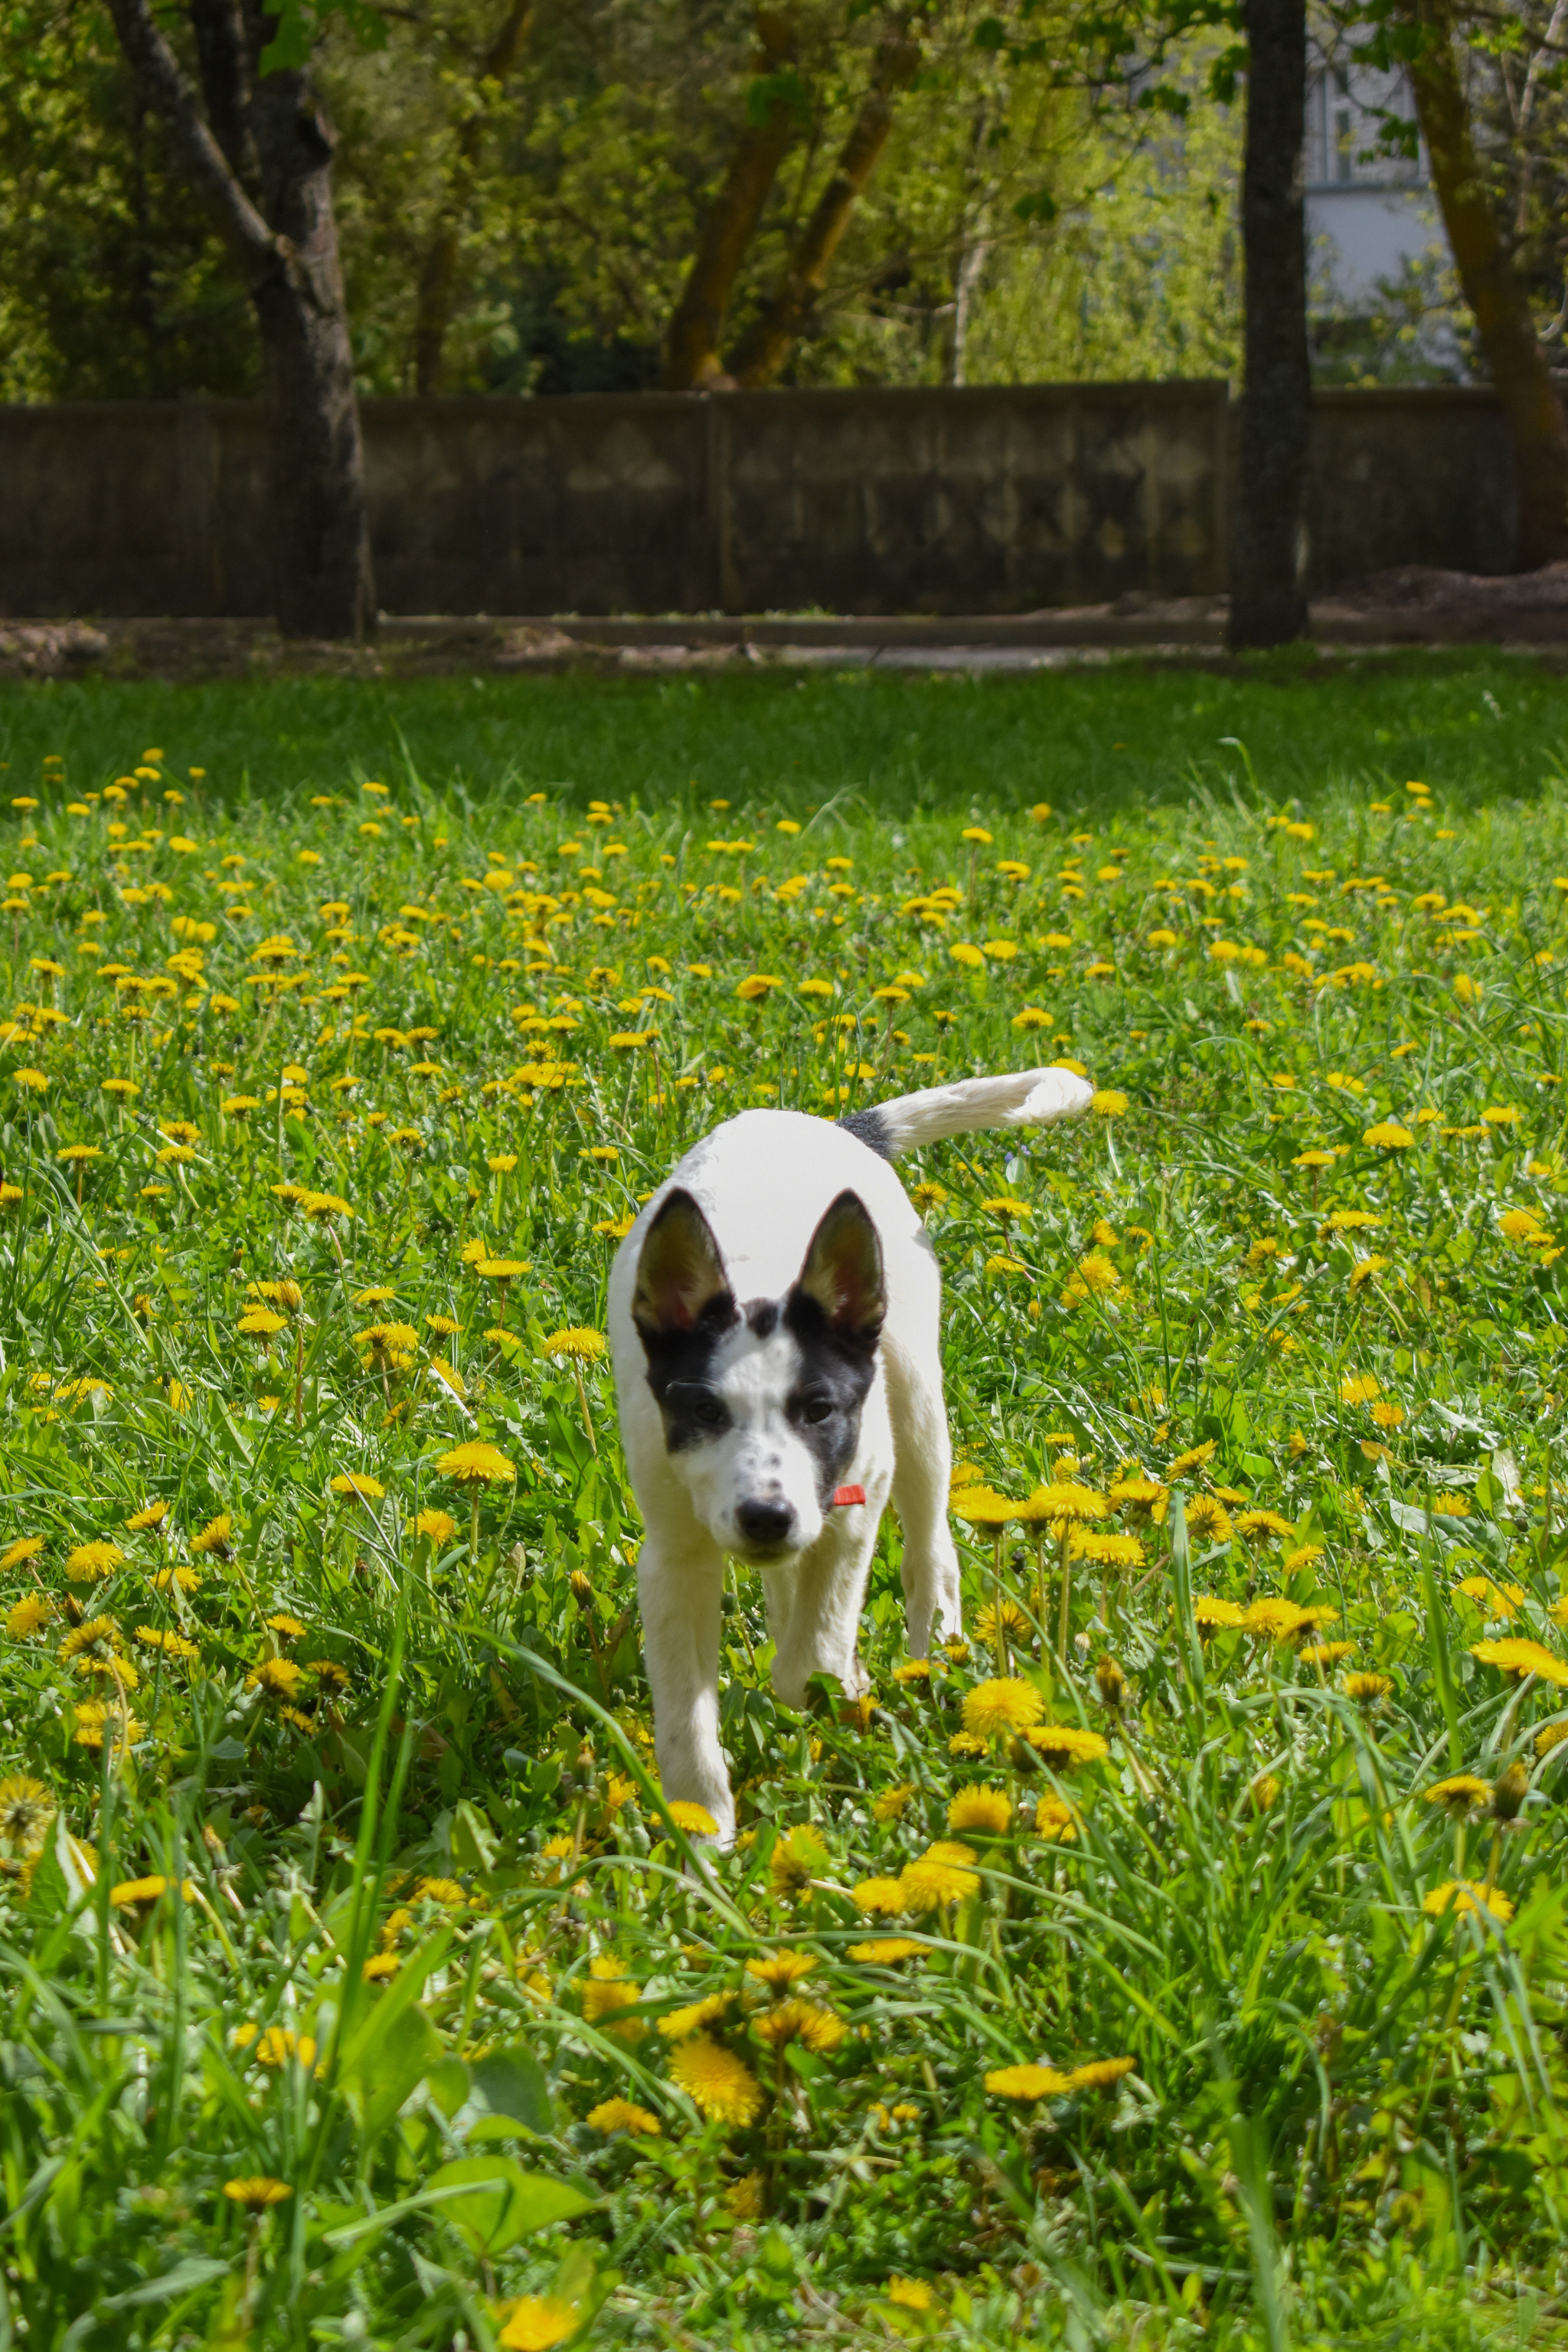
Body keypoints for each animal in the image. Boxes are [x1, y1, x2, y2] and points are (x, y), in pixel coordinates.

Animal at [611, 1067, 1090, 1834]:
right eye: (705, 1412)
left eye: (820, 1410)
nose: (766, 1519)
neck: (760, 1281)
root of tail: (834, 1127)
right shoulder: (674, 1552)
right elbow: (686, 1711)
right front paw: (702, 1826)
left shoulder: (858, 1498)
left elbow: (810, 1655)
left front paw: (838, 1685)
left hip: (918, 1403)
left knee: (932, 1554)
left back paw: (934, 1663)